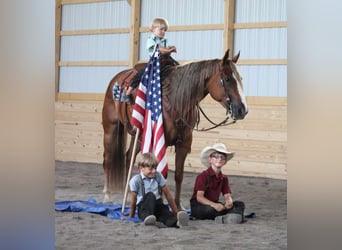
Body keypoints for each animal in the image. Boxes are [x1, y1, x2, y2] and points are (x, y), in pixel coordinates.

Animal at [101, 48, 248, 209]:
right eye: (227, 79)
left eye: (240, 78)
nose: (242, 110)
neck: (176, 99)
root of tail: (116, 80)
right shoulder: (160, 142)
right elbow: (161, 173)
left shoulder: (183, 144)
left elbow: (178, 175)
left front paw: (178, 205)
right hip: (110, 129)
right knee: (108, 159)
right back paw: (107, 195)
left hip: (138, 136)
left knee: (129, 158)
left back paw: (127, 195)